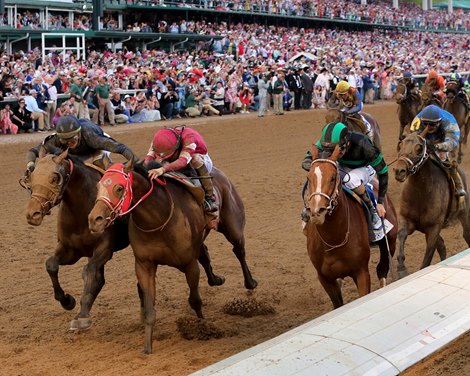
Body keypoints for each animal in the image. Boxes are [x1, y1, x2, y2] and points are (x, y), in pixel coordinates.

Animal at [21, 148, 129, 330]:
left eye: (55, 178)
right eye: (32, 176)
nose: (32, 214)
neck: (81, 211)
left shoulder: (104, 249)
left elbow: (89, 271)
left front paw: (82, 316)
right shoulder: (70, 250)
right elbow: (51, 265)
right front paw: (67, 301)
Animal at [88, 160, 258, 354]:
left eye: (119, 188)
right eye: (98, 186)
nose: (94, 220)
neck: (158, 219)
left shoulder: (189, 263)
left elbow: (195, 300)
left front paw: (203, 328)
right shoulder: (144, 265)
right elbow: (149, 309)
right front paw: (147, 347)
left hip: (233, 225)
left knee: (239, 251)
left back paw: (250, 283)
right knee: (205, 254)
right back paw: (215, 279)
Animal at [304, 146, 396, 308]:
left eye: (333, 177)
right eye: (309, 178)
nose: (316, 212)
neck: (334, 240)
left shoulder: (361, 273)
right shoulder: (324, 278)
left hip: (390, 242)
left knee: (382, 270)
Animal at [394, 131, 470, 278]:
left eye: (419, 148)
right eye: (401, 144)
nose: (399, 171)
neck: (420, 193)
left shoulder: (434, 227)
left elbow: (427, 258)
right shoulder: (407, 219)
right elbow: (400, 235)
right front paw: (401, 268)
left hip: (464, 214)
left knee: (466, 235)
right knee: (442, 245)